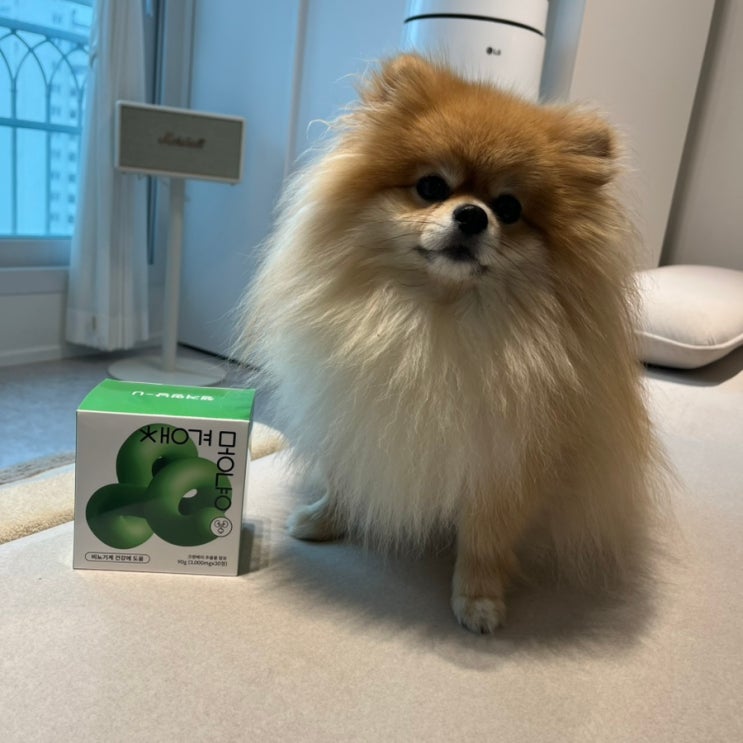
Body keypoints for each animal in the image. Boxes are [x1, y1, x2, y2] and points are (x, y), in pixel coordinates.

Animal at [237, 54, 663, 633]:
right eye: (432, 187)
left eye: (509, 207)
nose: (472, 214)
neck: (433, 318)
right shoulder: (359, 419)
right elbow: (348, 478)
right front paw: (327, 518)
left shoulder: (504, 461)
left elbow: (485, 539)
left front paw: (478, 599)